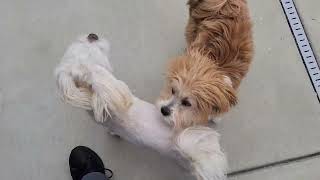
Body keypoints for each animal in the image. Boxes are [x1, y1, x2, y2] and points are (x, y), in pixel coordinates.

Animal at [157, 0, 252, 130]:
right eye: (173, 90)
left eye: (187, 103)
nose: (164, 110)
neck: (214, 64)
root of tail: (227, 2)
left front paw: (216, 116)